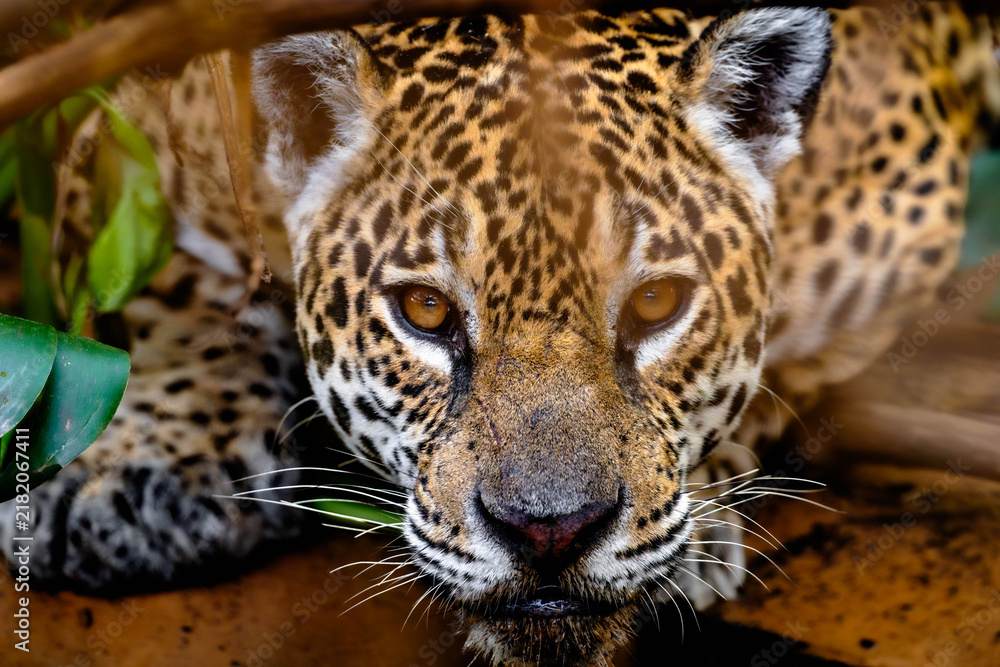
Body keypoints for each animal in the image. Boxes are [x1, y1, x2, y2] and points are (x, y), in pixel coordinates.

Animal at [2, 2, 999, 666]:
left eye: (657, 304)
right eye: (426, 312)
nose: (550, 534)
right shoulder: (160, 120)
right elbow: (173, 281)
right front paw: (132, 468)